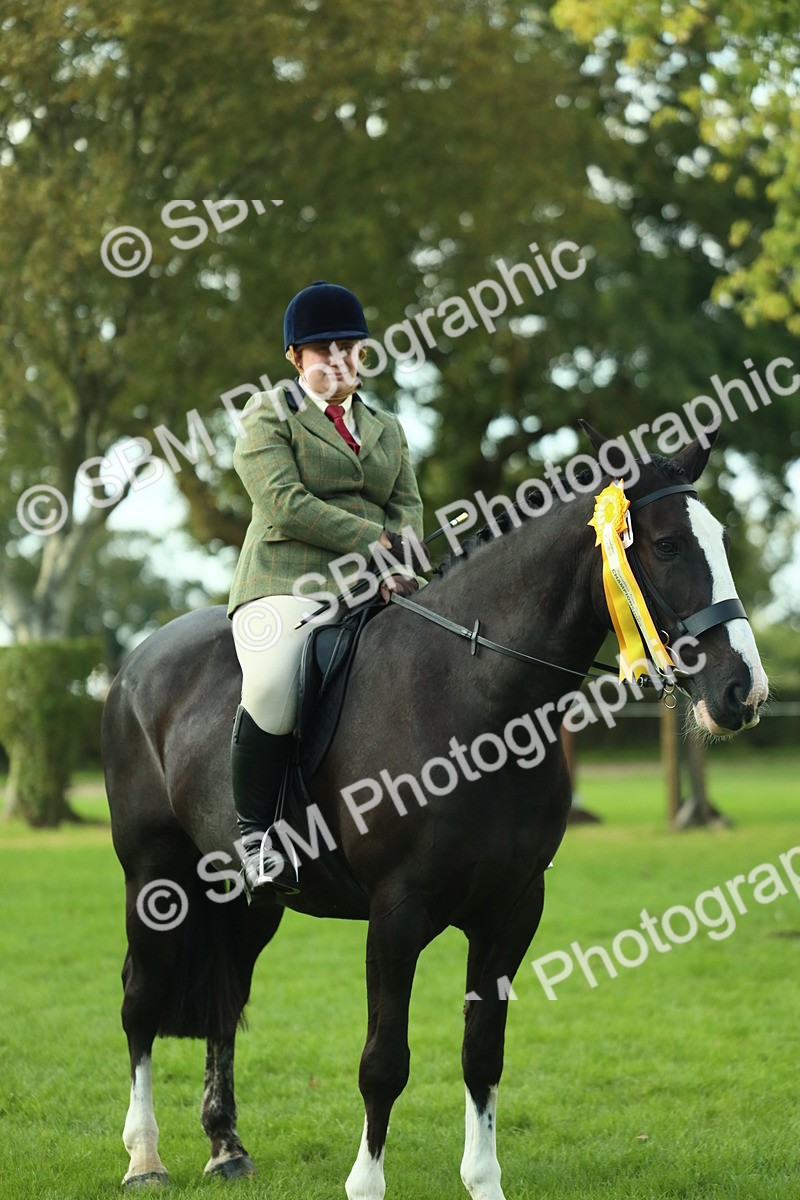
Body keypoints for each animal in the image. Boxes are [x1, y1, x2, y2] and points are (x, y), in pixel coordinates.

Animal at [101, 426, 768, 1199]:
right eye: (665, 545)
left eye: (719, 538)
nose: (744, 692)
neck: (477, 697)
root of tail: (138, 661)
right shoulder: (397, 911)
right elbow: (384, 1060)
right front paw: (365, 1185)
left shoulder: (514, 907)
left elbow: (483, 1054)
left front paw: (484, 1181)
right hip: (154, 879)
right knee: (141, 999)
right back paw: (145, 1159)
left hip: (248, 898)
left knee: (225, 996)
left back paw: (226, 1147)